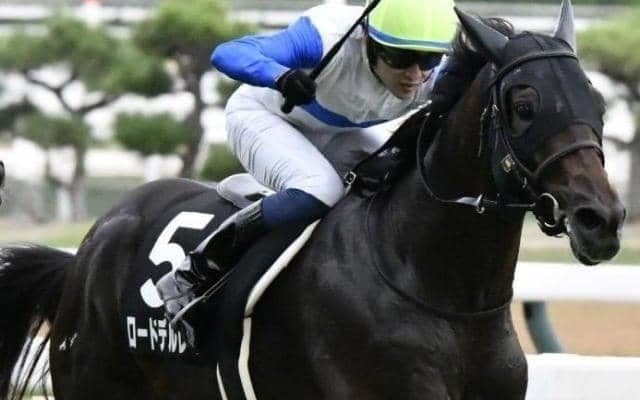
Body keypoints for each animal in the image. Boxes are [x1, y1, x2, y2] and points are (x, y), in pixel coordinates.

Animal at [0, 2, 626, 399]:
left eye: (596, 100)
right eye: (524, 104)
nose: (602, 219)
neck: (442, 293)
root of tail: (90, 246)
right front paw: (295, 82)